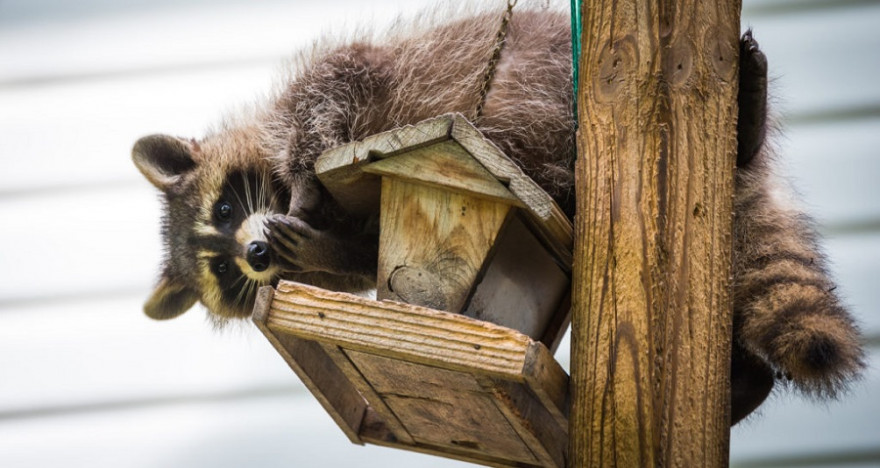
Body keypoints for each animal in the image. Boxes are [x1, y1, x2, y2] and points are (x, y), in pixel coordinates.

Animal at [131, 7, 860, 424]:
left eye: (227, 207)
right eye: (224, 274)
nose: (254, 255)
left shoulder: (330, 86)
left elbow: (329, 93)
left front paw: (305, 175)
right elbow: (364, 254)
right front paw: (319, 252)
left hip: (560, 77)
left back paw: (748, 125)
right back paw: (746, 383)